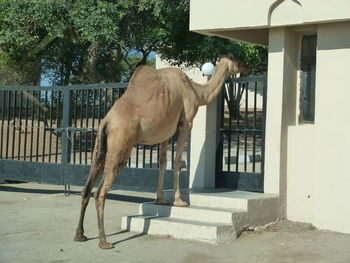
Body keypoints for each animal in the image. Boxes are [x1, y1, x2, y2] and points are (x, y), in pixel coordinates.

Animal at [73, 54, 249, 250]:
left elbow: (163, 162)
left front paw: (161, 199)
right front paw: (179, 201)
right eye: (238, 60)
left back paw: (80, 235)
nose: (247, 67)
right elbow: (178, 161)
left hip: (100, 146)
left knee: (86, 187)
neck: (196, 90)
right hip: (121, 144)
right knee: (100, 192)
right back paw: (104, 241)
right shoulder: (186, 121)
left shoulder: (166, 131)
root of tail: (107, 121)